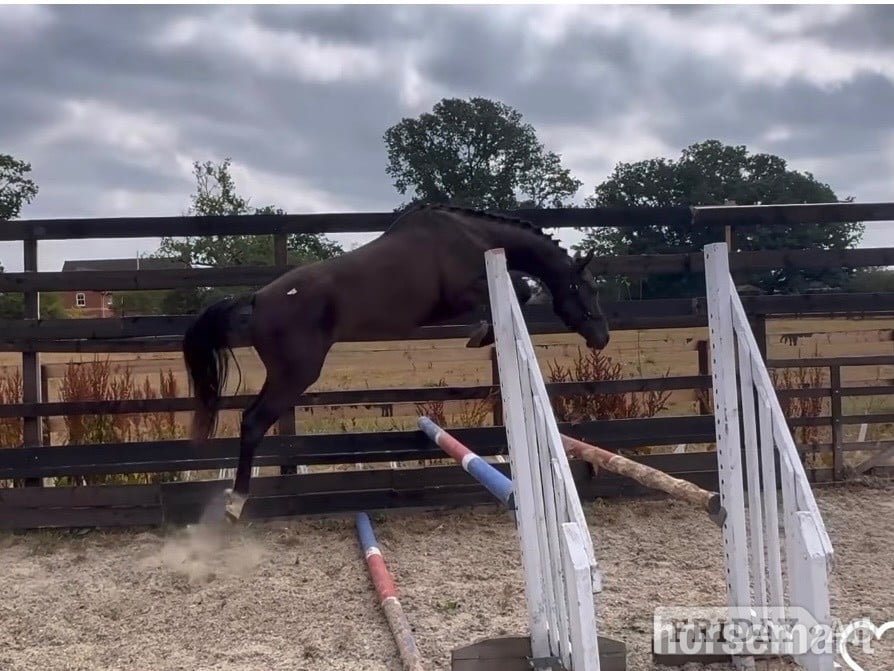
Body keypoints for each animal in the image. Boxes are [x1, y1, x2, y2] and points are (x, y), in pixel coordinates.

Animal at [182, 203, 610, 522]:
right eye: (585, 287)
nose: (602, 337)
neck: (472, 237)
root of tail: (256, 300)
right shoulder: (463, 291)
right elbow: (520, 290)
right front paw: (481, 333)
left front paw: (482, 333)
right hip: (295, 374)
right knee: (253, 422)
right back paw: (236, 503)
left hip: (283, 375)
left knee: (250, 420)